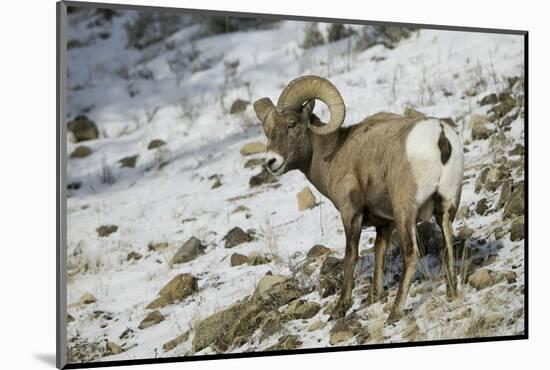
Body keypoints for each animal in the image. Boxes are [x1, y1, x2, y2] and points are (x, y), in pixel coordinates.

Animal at [254, 76, 466, 320]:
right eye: (268, 130)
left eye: (292, 124)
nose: (272, 162)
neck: (334, 154)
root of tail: (440, 137)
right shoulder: (385, 223)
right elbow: (379, 251)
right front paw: (375, 296)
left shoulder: (351, 214)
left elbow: (351, 255)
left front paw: (340, 308)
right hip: (446, 208)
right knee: (448, 242)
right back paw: (451, 292)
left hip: (406, 211)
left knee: (411, 255)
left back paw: (395, 312)